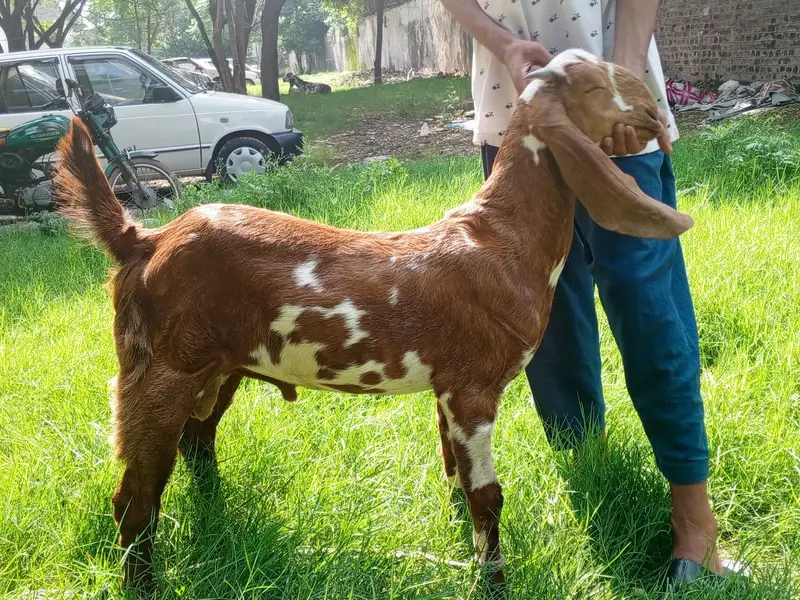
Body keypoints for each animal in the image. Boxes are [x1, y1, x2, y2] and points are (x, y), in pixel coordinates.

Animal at [53, 49, 692, 591]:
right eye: (592, 86)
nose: (650, 105)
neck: (499, 238)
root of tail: (144, 239)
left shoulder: (445, 388)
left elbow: (454, 471)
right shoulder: (473, 385)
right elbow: (488, 496)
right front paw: (493, 581)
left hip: (218, 367)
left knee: (196, 441)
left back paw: (218, 514)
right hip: (158, 369)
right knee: (134, 497)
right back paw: (144, 581)